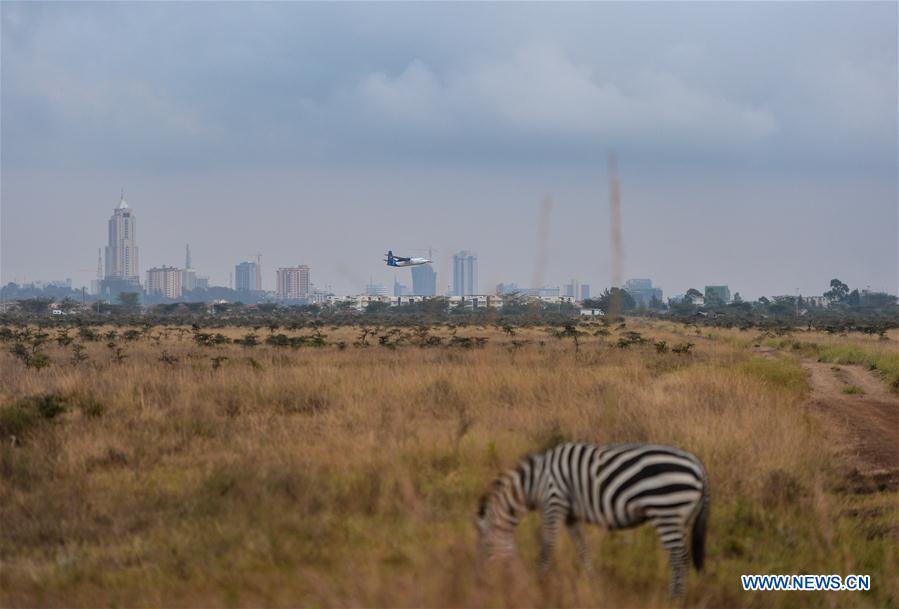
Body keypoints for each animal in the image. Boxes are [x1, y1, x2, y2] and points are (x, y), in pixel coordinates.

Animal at [478, 442, 712, 600]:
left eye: (485, 545)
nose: (481, 583)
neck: (535, 483)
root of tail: (698, 465)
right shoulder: (570, 515)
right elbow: (583, 550)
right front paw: (594, 583)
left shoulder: (554, 502)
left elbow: (546, 547)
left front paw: (539, 585)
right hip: (679, 517)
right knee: (679, 559)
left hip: (667, 511)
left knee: (679, 559)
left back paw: (674, 600)